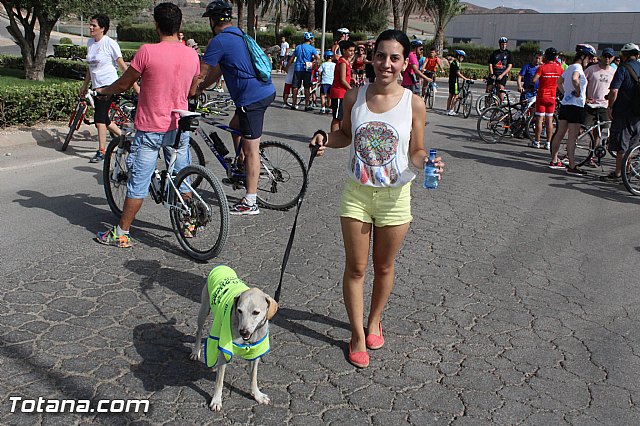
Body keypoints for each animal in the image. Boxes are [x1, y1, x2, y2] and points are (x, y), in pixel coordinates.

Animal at [191, 264, 278, 412]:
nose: (243, 331)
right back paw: (196, 351)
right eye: (239, 310)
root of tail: (221, 266)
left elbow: (253, 376)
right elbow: (219, 381)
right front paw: (216, 400)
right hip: (204, 309)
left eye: (256, 312)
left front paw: (257, 395)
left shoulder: (255, 352)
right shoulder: (224, 353)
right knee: (198, 331)